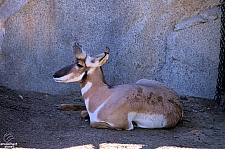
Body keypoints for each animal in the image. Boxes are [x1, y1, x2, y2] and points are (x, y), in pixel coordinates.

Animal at [53, 38, 183, 130]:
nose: (54, 75)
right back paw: (61, 106)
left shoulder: (123, 125)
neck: (106, 95)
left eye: (79, 64)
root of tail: (176, 98)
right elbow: (84, 113)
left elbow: (93, 123)